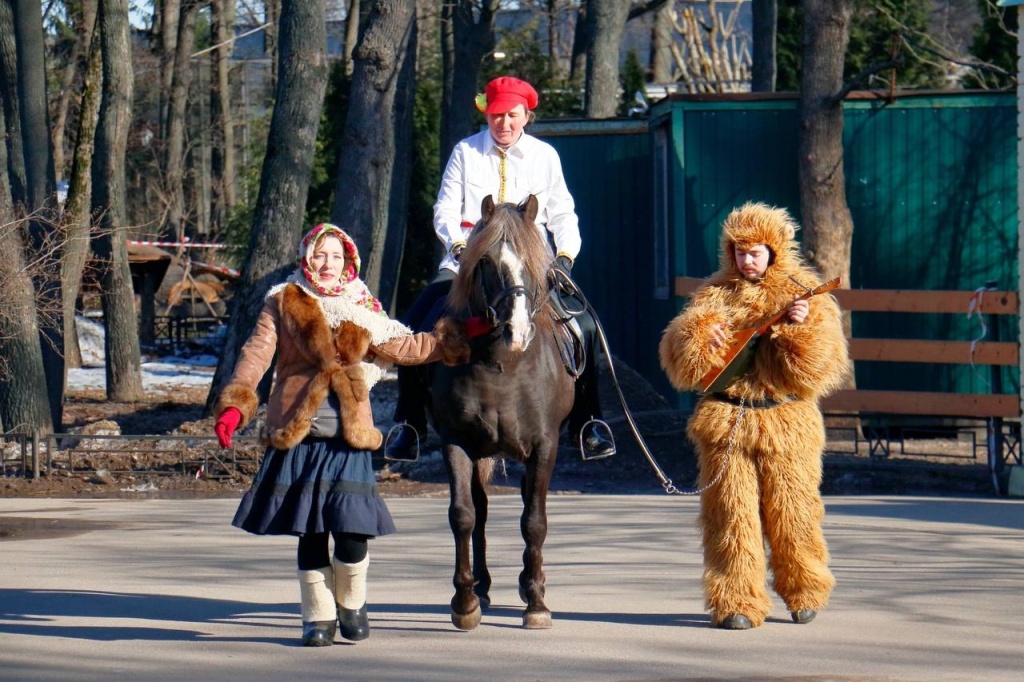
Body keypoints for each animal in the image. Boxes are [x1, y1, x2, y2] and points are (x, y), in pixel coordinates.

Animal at [428, 192, 577, 626]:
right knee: (480, 511)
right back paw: (482, 586)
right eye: (487, 262)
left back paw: (529, 584)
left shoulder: (545, 444)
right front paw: (464, 602)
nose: (518, 331)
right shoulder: (456, 442)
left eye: (535, 261)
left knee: (528, 504)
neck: (503, 364)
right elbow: (463, 515)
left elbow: (535, 521)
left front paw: (537, 603)